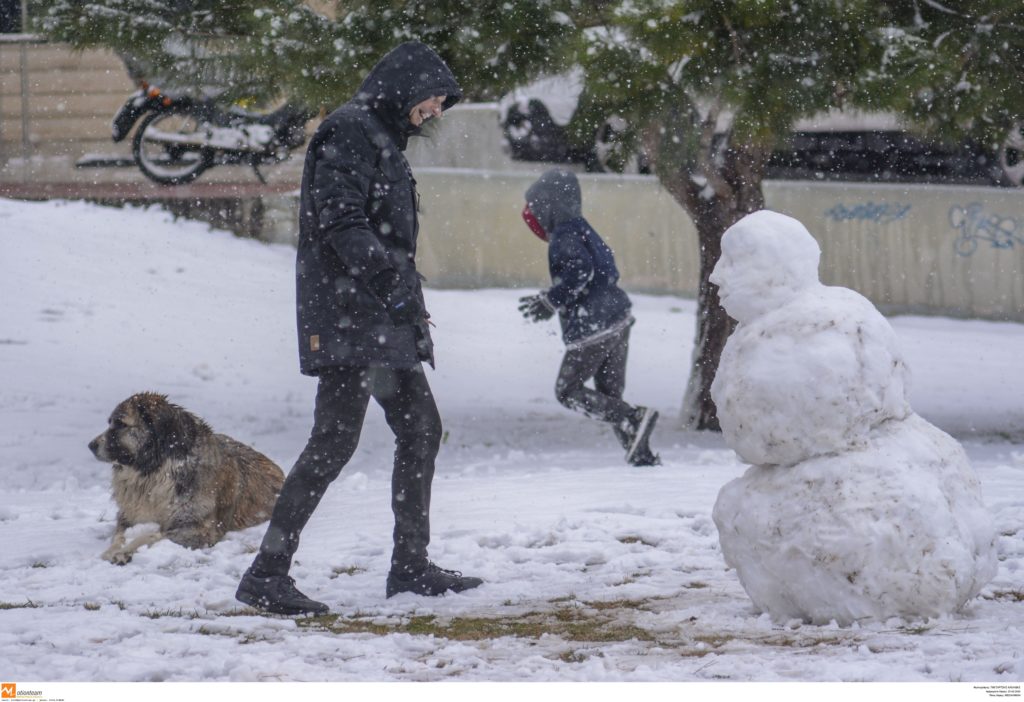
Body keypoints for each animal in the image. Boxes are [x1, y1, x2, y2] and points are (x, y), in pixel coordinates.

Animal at [89, 397, 284, 564]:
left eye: (121, 424)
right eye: (110, 422)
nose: (91, 445)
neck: (157, 473)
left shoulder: (200, 529)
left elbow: (152, 535)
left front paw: (125, 551)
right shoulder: (128, 516)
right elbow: (119, 535)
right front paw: (113, 549)